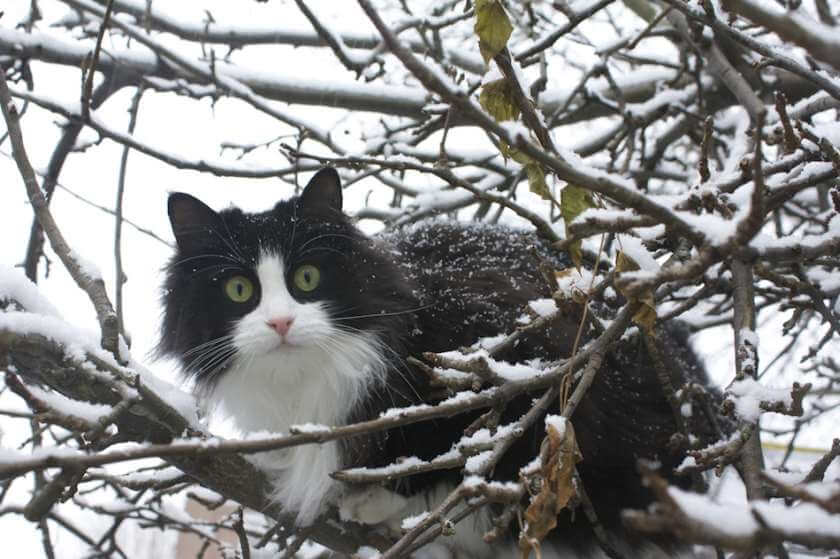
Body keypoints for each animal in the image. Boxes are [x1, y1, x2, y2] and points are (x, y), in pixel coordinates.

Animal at [161, 168, 720, 556]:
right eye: (239, 290)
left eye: (307, 279)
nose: (280, 323)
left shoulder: (523, 362)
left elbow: (470, 455)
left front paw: (379, 497)